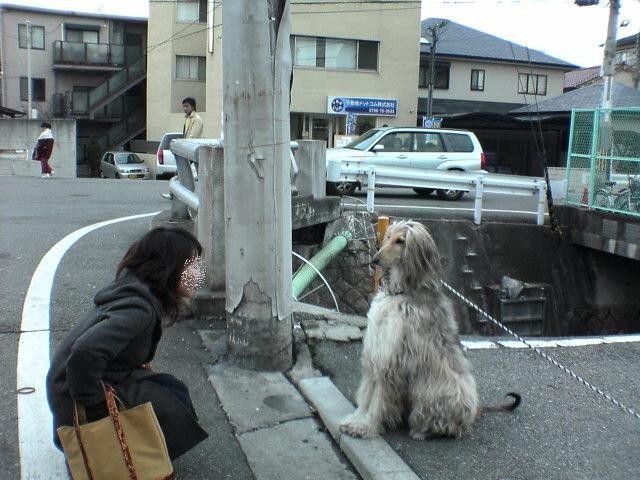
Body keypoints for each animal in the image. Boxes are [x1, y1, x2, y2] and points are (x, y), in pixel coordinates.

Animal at [340, 220, 520, 438]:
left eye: (401, 241)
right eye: (388, 236)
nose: (375, 259)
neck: (402, 292)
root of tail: (474, 410)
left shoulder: (391, 360)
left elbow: (378, 398)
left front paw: (366, 426)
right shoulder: (375, 352)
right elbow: (367, 394)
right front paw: (356, 420)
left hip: (434, 390)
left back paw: (424, 429)